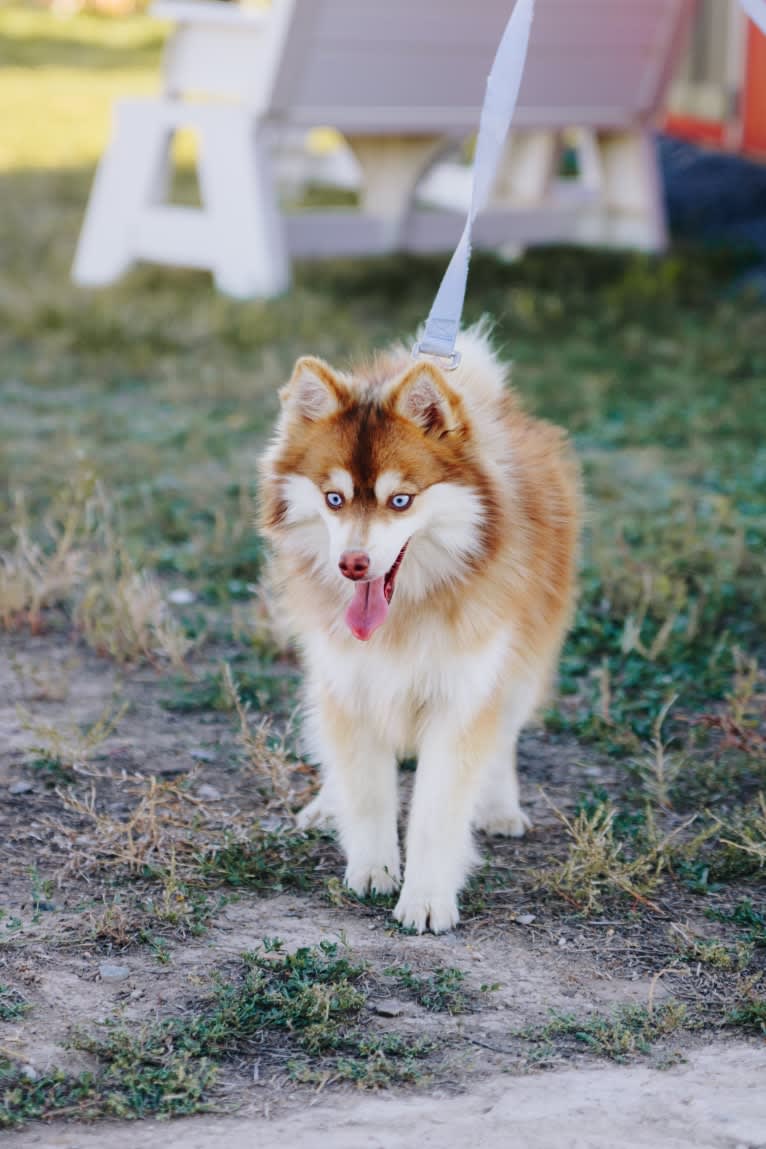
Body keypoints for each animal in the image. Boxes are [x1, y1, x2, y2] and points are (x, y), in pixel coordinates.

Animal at [259, 324, 581, 932]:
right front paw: (373, 867)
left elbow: (438, 811)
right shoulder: (351, 683)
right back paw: (326, 803)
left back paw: (499, 806)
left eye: (401, 500)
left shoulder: (462, 693)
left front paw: (428, 897)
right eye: (333, 498)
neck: (408, 609)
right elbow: (367, 790)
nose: (352, 564)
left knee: (504, 734)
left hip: (522, 661)